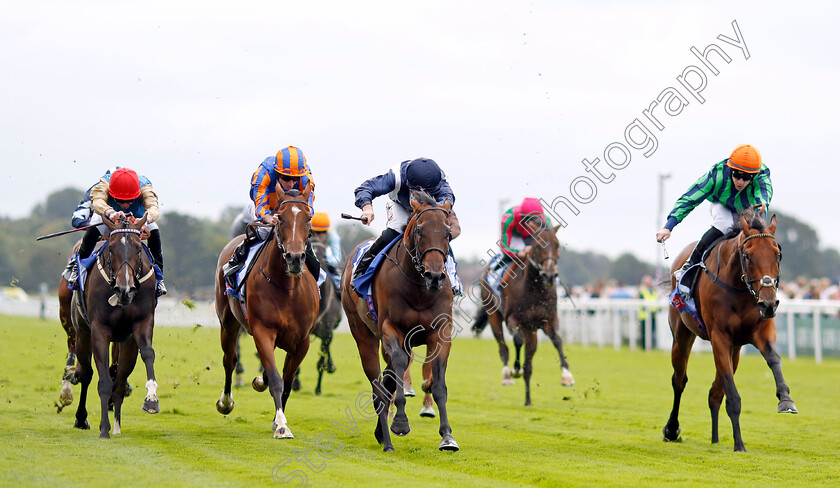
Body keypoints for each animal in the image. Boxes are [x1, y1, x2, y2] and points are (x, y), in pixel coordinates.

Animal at [71, 214, 158, 438]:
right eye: (111, 249)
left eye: (138, 249)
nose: (124, 289)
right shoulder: (99, 330)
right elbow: (103, 382)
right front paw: (104, 428)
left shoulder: (141, 325)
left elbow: (148, 353)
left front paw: (151, 399)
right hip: (83, 333)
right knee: (86, 374)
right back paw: (81, 418)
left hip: (126, 343)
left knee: (118, 382)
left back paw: (117, 425)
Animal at [215, 187, 320, 438]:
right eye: (280, 218)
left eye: (308, 219)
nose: (294, 258)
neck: (288, 289)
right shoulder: (263, 331)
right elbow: (275, 378)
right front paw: (281, 425)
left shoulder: (302, 341)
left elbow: (288, 381)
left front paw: (277, 419)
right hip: (228, 323)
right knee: (229, 360)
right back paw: (225, 402)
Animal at [342, 191, 460, 454]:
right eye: (420, 231)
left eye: (448, 232)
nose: (435, 276)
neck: (419, 289)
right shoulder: (391, 328)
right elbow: (397, 368)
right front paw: (400, 422)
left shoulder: (441, 332)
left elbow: (438, 385)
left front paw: (447, 437)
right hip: (363, 334)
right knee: (378, 385)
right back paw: (386, 440)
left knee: (385, 380)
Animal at [476, 219, 576, 406]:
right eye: (537, 245)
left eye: (557, 244)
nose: (550, 275)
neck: (534, 290)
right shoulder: (512, 319)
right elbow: (517, 340)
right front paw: (515, 369)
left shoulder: (548, 321)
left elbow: (558, 341)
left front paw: (567, 376)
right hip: (494, 315)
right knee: (503, 346)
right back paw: (508, 375)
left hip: (532, 330)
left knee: (529, 364)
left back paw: (528, 400)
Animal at [664, 208, 796, 452]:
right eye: (748, 256)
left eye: (777, 254)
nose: (769, 303)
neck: (740, 289)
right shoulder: (720, 338)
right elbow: (733, 397)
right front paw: (739, 445)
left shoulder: (760, 331)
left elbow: (774, 360)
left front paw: (786, 400)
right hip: (682, 335)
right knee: (679, 380)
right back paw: (672, 429)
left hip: (735, 350)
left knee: (714, 394)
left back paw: (715, 439)